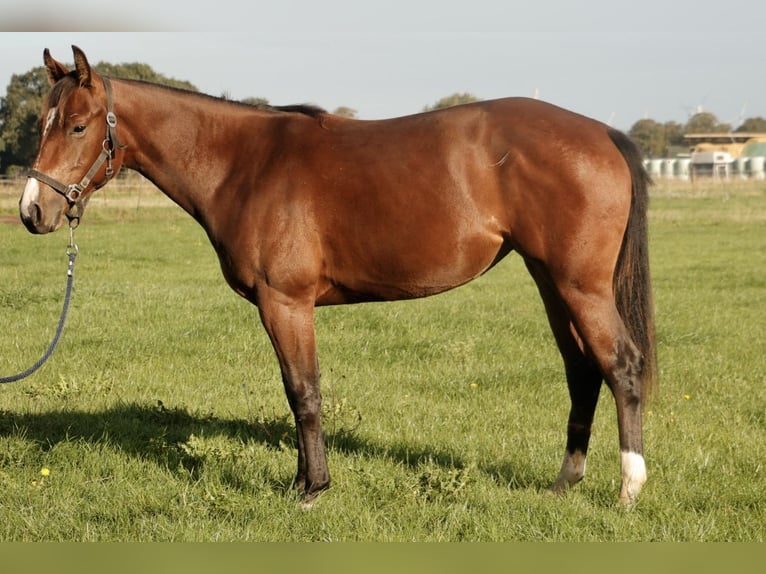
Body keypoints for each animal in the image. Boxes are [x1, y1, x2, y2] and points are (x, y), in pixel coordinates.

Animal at [19, 46, 656, 505]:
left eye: (77, 127)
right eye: (43, 122)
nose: (32, 211)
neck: (245, 164)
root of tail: (603, 133)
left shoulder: (285, 302)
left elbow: (303, 391)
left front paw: (312, 489)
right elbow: (296, 390)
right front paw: (304, 481)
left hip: (580, 286)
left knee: (621, 366)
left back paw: (628, 489)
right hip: (550, 280)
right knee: (582, 370)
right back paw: (564, 483)